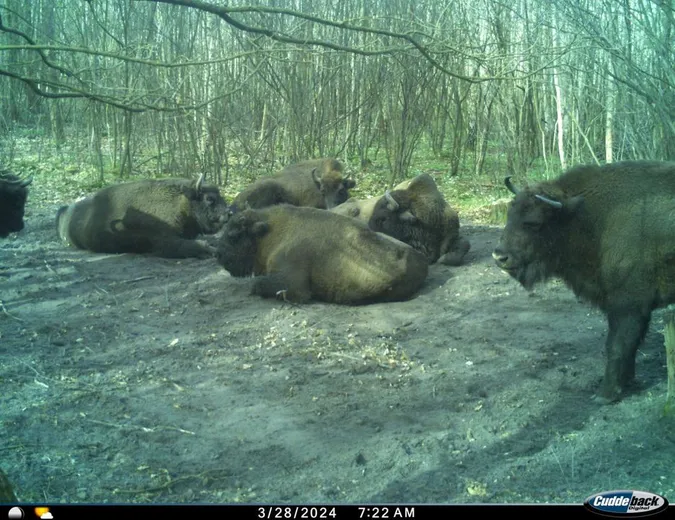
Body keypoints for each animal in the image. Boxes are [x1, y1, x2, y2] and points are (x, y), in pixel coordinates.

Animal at [56, 175, 230, 258]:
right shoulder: (165, 242)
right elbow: (192, 245)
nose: (229, 212)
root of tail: (65, 211)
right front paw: (209, 251)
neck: (181, 202)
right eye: (209, 199)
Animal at [217, 204, 428, 304]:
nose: (218, 255)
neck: (270, 231)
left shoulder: (292, 285)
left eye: (233, 235)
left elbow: (258, 284)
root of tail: (420, 259)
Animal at [492, 160, 675, 404]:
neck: (587, 217)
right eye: (509, 214)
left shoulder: (628, 306)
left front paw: (605, 394)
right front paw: (626, 382)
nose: (500, 256)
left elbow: (617, 346)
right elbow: (630, 346)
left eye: (534, 222)